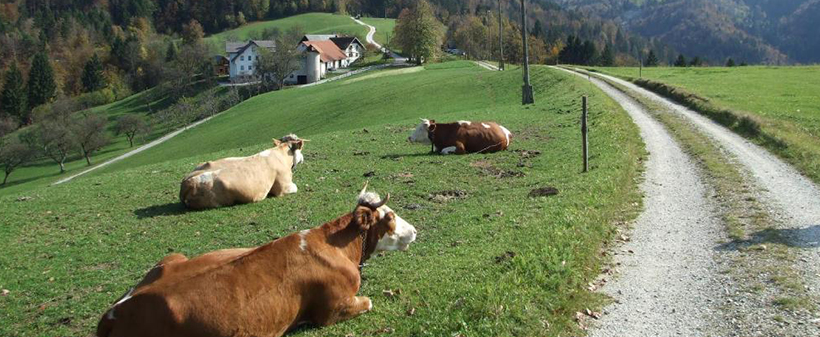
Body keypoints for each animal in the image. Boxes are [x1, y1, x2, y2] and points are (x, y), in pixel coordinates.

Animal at [97, 185, 416, 336]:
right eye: (389, 216)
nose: (414, 230)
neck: (333, 244)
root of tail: (114, 313)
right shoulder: (332, 308)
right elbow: (367, 302)